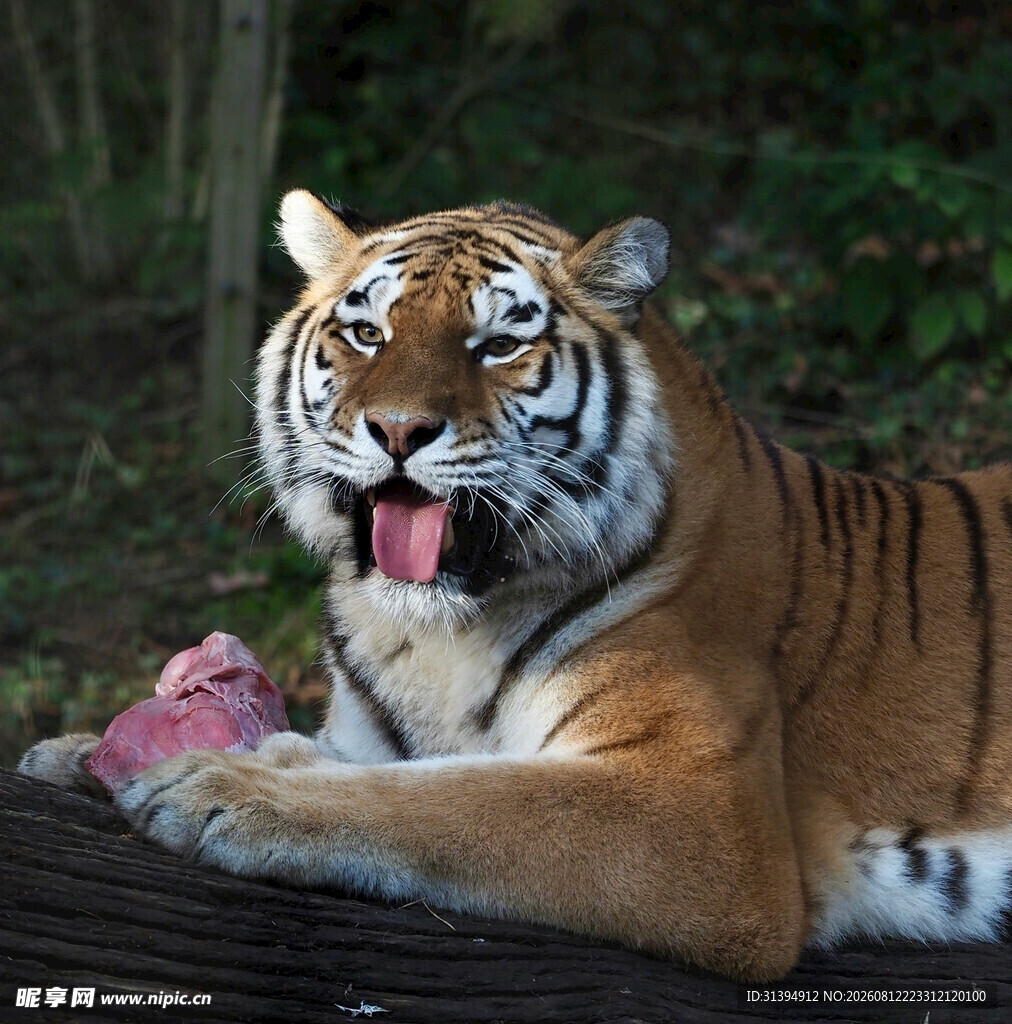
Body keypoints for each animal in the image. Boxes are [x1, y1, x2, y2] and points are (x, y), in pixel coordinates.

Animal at [19, 190, 1012, 982]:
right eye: (367, 332)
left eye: (497, 345)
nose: (398, 428)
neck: (429, 634)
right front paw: (82, 752)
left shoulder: (704, 812)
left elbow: (457, 799)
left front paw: (223, 784)